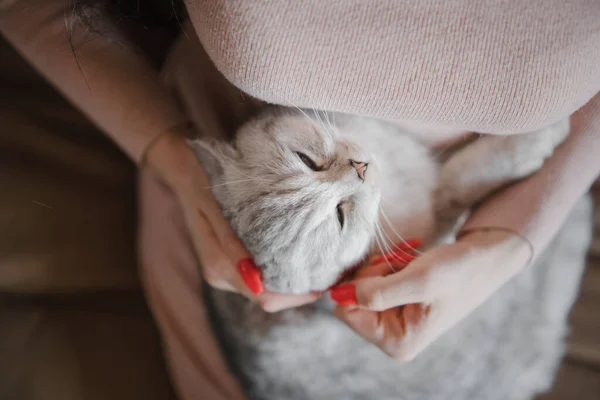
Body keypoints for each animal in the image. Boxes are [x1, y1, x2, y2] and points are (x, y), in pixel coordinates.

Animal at [192, 107, 592, 400]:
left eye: (306, 160)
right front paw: (541, 138)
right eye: (340, 216)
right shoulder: (436, 216)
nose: (359, 169)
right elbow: (465, 176)